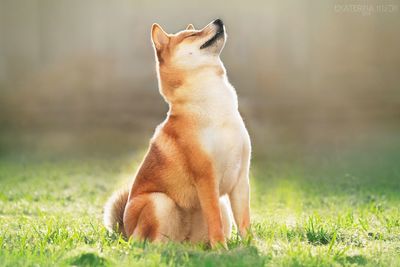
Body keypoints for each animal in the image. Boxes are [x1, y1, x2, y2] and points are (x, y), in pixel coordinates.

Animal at [104, 18, 252, 249]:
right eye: (191, 35)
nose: (218, 21)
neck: (215, 107)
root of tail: (125, 233)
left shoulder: (241, 178)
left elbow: (245, 223)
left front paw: (251, 248)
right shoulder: (206, 178)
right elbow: (215, 222)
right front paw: (222, 250)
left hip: (222, 207)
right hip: (158, 202)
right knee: (150, 244)